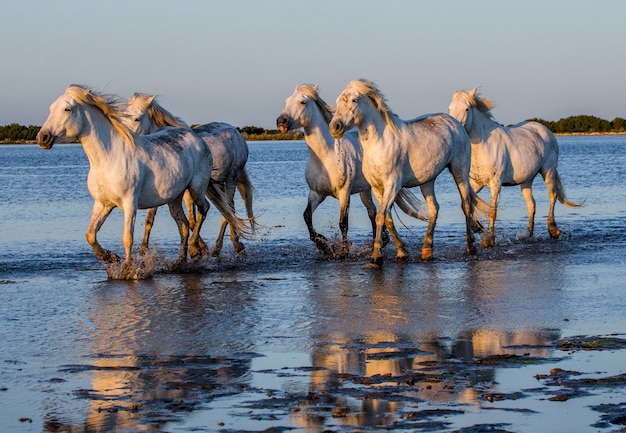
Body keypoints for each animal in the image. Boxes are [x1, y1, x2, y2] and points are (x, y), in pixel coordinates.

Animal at [37, 83, 217, 270]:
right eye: (51, 108)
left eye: (67, 109)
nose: (42, 137)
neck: (108, 159)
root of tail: (196, 137)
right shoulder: (102, 204)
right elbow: (90, 235)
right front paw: (111, 258)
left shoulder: (130, 204)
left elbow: (127, 238)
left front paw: (129, 269)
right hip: (174, 198)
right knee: (183, 224)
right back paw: (180, 261)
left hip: (196, 188)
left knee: (203, 210)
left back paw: (194, 249)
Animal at [124, 93, 254, 256]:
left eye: (137, 119)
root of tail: (237, 133)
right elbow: (185, 220)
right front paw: (199, 247)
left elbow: (169, 220)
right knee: (228, 209)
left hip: (232, 178)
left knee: (228, 209)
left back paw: (224, 246)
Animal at [276, 84, 422, 256]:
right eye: (286, 102)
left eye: (302, 102)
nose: (281, 122)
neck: (326, 156)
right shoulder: (316, 194)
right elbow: (307, 216)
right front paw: (323, 245)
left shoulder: (344, 193)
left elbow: (343, 223)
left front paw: (343, 251)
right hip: (365, 190)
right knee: (372, 211)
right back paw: (380, 242)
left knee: (380, 211)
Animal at [330, 78, 486, 266]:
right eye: (338, 101)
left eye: (353, 100)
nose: (335, 127)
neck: (379, 143)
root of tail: (455, 122)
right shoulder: (377, 188)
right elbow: (387, 218)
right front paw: (401, 252)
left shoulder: (392, 185)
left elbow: (380, 216)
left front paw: (376, 257)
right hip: (427, 181)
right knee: (434, 209)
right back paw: (426, 251)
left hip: (459, 171)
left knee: (466, 205)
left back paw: (470, 248)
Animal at [444, 87, 580, 246]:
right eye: (449, 108)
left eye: (466, 109)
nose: (454, 128)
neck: (484, 146)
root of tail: (545, 130)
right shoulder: (475, 183)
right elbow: (471, 201)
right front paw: (477, 227)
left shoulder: (496, 183)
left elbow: (492, 211)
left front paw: (489, 239)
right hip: (526, 180)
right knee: (531, 204)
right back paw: (528, 235)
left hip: (548, 170)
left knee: (552, 195)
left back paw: (553, 230)